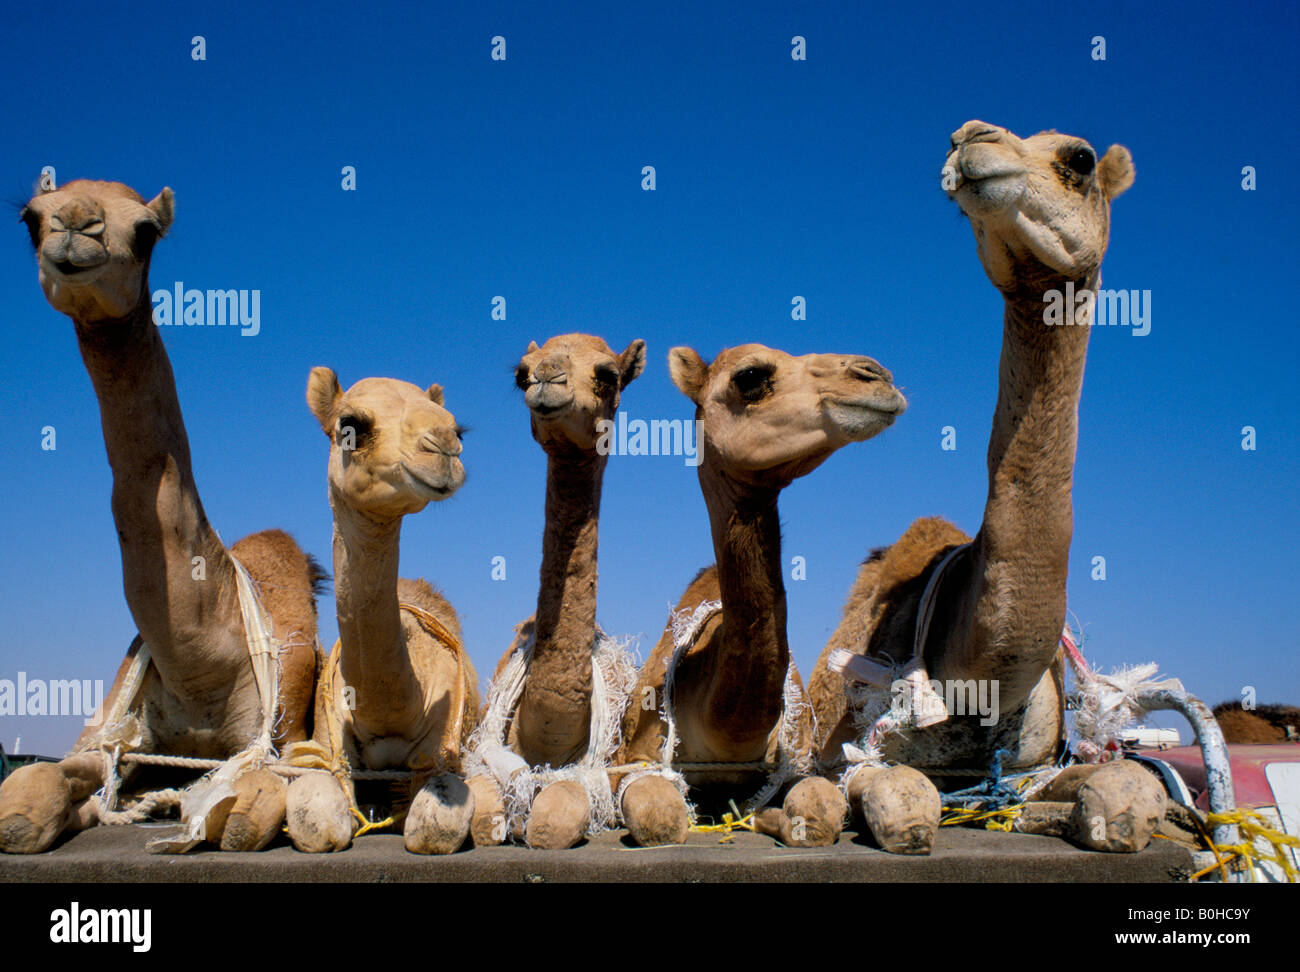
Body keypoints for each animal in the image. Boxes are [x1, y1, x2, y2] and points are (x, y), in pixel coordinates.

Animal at [0, 180, 322, 852]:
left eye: (145, 232)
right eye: (30, 219)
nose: (76, 226)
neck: (201, 659)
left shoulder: (275, 736)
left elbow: (252, 806)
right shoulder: (110, 738)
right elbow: (29, 792)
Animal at [287, 369, 480, 852]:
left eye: (458, 427)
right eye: (351, 425)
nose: (444, 445)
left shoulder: (441, 749)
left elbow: (430, 828)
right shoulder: (328, 739)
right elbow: (318, 822)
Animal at [616, 340, 904, 842]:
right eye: (750, 376)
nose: (876, 376)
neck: (727, 733)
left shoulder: (797, 760)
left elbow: (820, 807)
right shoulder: (635, 760)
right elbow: (660, 818)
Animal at [806, 123, 1164, 857]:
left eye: (1079, 159)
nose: (972, 138)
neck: (984, 676)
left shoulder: (1033, 764)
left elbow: (1133, 791)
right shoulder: (854, 755)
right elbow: (902, 807)